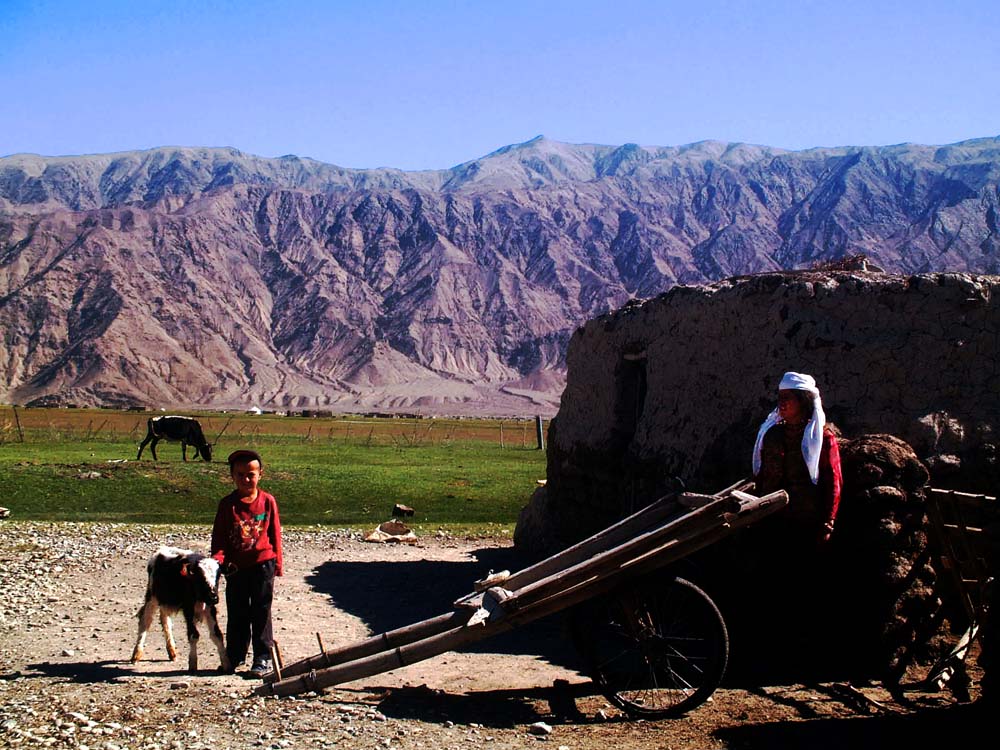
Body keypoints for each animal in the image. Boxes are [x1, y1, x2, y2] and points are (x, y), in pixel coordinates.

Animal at [128, 548, 229, 676]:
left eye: (218, 575)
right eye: (200, 577)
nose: (214, 597)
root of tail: (161, 550)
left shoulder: (210, 609)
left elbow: (217, 634)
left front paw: (226, 665)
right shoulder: (188, 609)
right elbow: (194, 635)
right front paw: (193, 665)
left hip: (164, 601)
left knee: (165, 620)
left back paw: (172, 652)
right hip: (152, 597)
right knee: (145, 621)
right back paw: (136, 655)